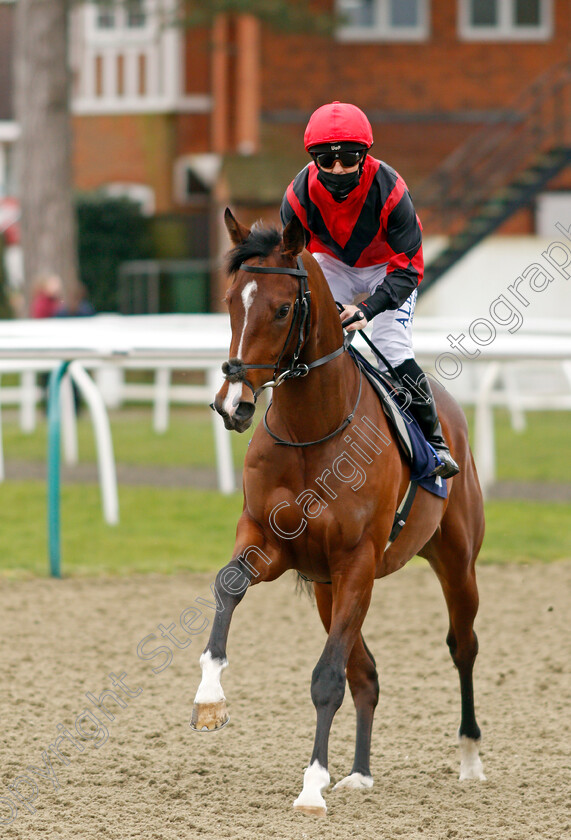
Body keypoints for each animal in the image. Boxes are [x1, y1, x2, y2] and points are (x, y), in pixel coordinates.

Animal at [192, 208, 488, 812]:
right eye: (231, 300)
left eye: (283, 308)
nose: (233, 405)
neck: (314, 430)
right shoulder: (271, 542)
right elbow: (227, 584)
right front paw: (209, 696)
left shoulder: (357, 562)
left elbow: (326, 678)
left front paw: (311, 785)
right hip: (329, 590)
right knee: (367, 673)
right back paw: (359, 773)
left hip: (455, 561)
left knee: (462, 647)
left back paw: (470, 758)